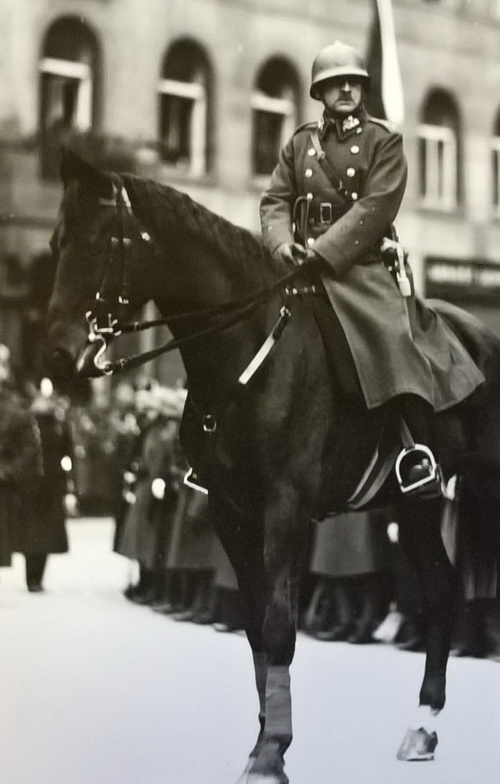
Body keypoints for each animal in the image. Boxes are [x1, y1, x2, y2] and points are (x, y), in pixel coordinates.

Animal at [47, 149, 500, 784]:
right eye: (57, 242)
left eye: (103, 241)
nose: (57, 354)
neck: (243, 349)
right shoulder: (230, 512)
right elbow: (255, 625)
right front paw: (267, 739)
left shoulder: (284, 508)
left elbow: (280, 624)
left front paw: (270, 751)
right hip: (416, 505)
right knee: (441, 590)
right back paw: (423, 723)